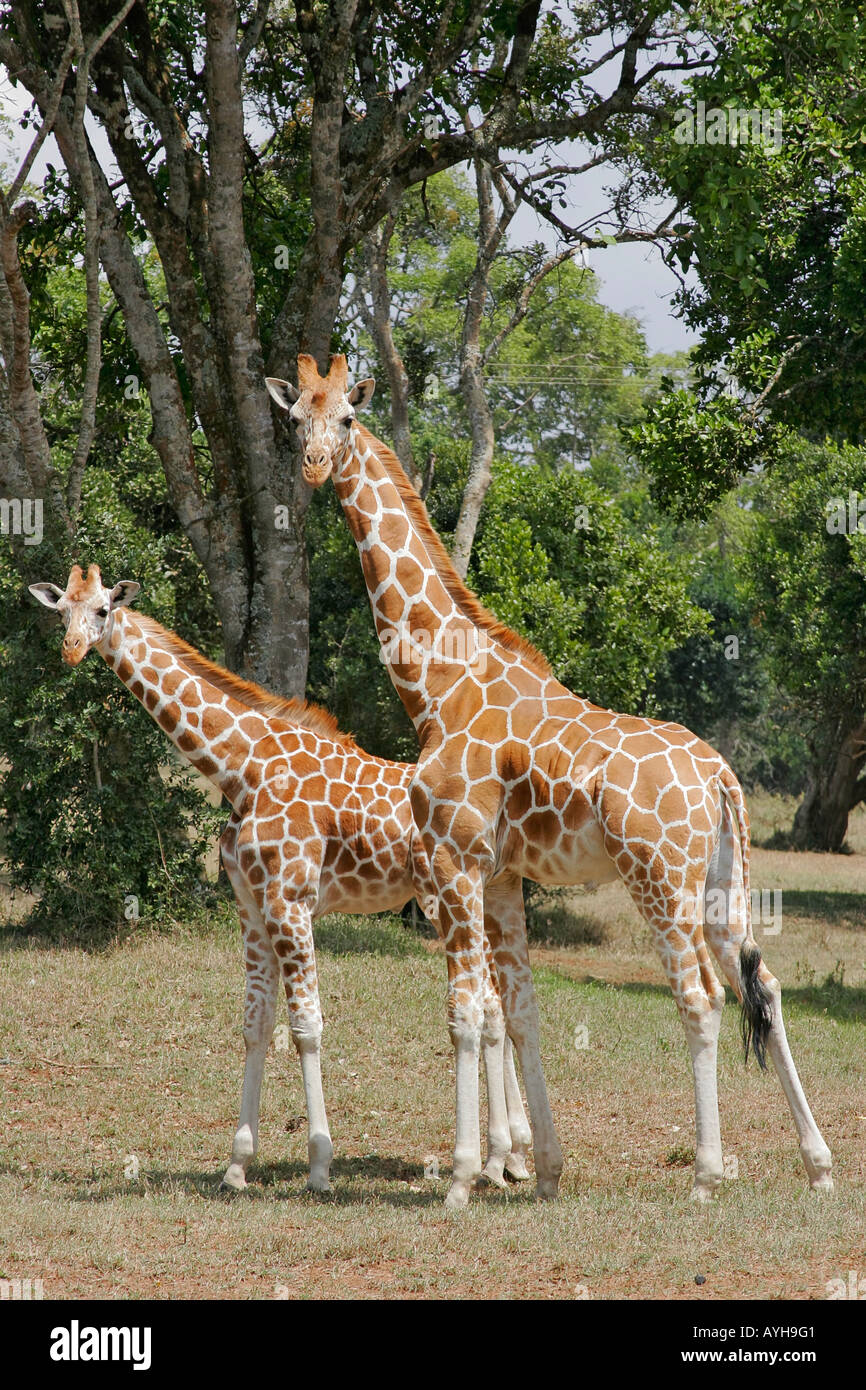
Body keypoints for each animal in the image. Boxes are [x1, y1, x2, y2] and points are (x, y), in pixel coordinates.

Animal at [29, 564, 532, 1194]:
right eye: (60, 612)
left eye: (102, 609)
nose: (71, 650)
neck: (240, 768)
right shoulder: (250, 905)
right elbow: (255, 1025)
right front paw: (237, 1165)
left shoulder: (289, 901)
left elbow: (306, 1026)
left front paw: (319, 1164)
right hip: (468, 902)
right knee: (495, 1006)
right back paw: (510, 1157)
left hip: (447, 902)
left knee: (488, 1006)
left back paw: (496, 1160)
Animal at [265, 354, 834, 1209]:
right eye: (297, 417)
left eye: (348, 420)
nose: (312, 466)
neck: (439, 686)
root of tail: (719, 775)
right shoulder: (503, 877)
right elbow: (522, 1011)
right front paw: (544, 1171)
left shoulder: (455, 864)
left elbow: (466, 1016)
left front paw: (462, 1178)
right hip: (721, 885)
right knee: (761, 989)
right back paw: (818, 1163)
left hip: (658, 879)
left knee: (700, 999)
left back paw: (707, 1175)